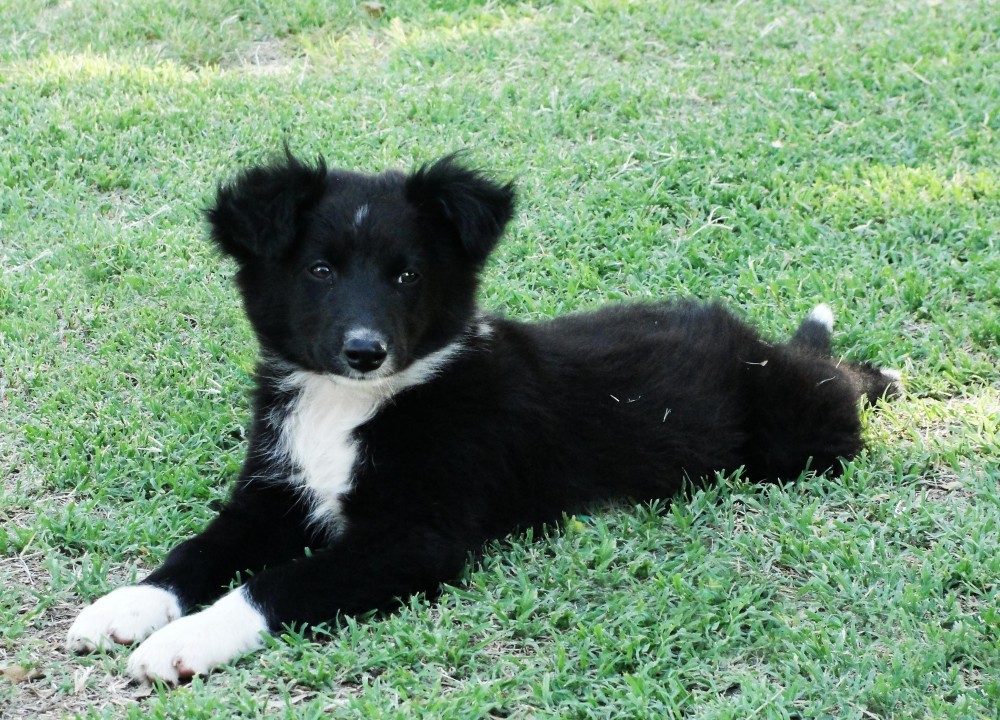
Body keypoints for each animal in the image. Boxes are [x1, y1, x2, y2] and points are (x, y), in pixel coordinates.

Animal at [68, 150, 900, 680]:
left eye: (406, 275)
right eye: (320, 270)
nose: (365, 350)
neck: (356, 406)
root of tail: (750, 340)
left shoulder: (413, 537)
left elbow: (274, 584)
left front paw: (183, 643)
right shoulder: (273, 493)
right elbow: (199, 550)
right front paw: (127, 606)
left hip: (800, 431)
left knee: (838, 386)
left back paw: (875, 370)